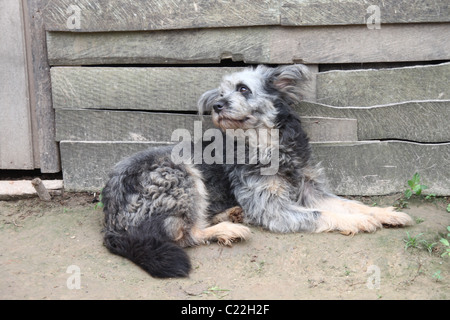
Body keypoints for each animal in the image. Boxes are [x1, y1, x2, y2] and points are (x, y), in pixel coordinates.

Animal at [101, 65, 412, 278]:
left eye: (243, 89)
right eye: (221, 93)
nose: (217, 105)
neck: (268, 144)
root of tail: (111, 225)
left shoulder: (311, 188)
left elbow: (351, 204)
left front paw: (385, 213)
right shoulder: (272, 207)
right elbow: (321, 214)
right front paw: (358, 222)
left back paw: (232, 214)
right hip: (181, 171)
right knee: (185, 234)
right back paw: (229, 228)